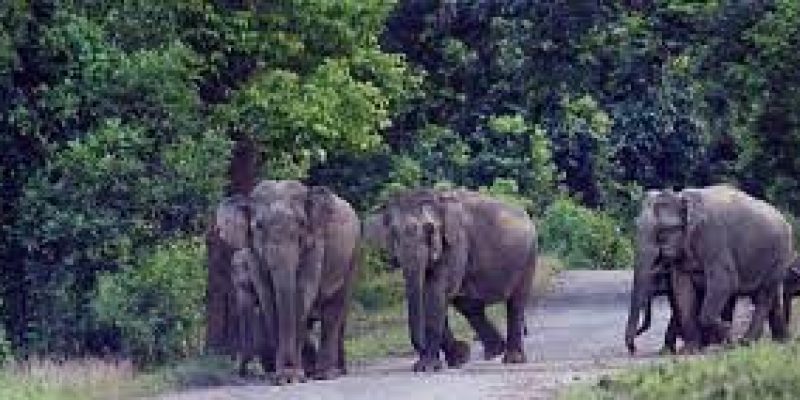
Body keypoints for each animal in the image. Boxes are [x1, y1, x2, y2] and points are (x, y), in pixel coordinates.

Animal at [364, 188, 537, 372]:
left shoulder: (457, 242)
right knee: (469, 306)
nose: (421, 349)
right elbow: (432, 295)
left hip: (528, 257)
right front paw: (458, 358)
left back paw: (512, 359)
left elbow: (437, 292)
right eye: (394, 233)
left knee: (516, 302)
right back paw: (494, 351)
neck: (435, 198)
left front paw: (426, 367)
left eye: (429, 229)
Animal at [625, 185, 793, 354]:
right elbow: (682, 290)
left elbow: (724, 282)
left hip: (780, 255)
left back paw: (746, 342)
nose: (634, 349)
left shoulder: (713, 237)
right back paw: (782, 341)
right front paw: (689, 350)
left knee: (763, 297)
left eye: (664, 231)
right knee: (770, 297)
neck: (681, 197)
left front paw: (726, 333)